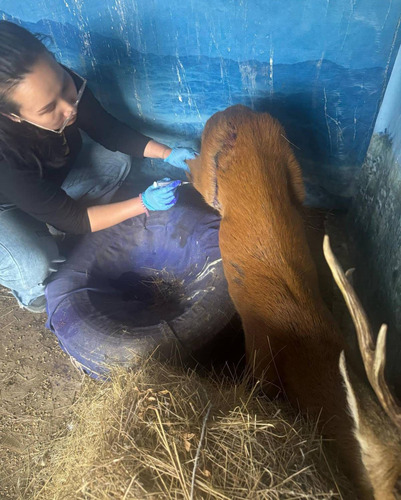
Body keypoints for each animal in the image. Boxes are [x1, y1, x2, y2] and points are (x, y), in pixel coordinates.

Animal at [185, 104, 394, 496]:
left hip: (292, 168)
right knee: (193, 168)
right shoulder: (259, 359)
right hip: (220, 174)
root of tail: (238, 109)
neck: (307, 344)